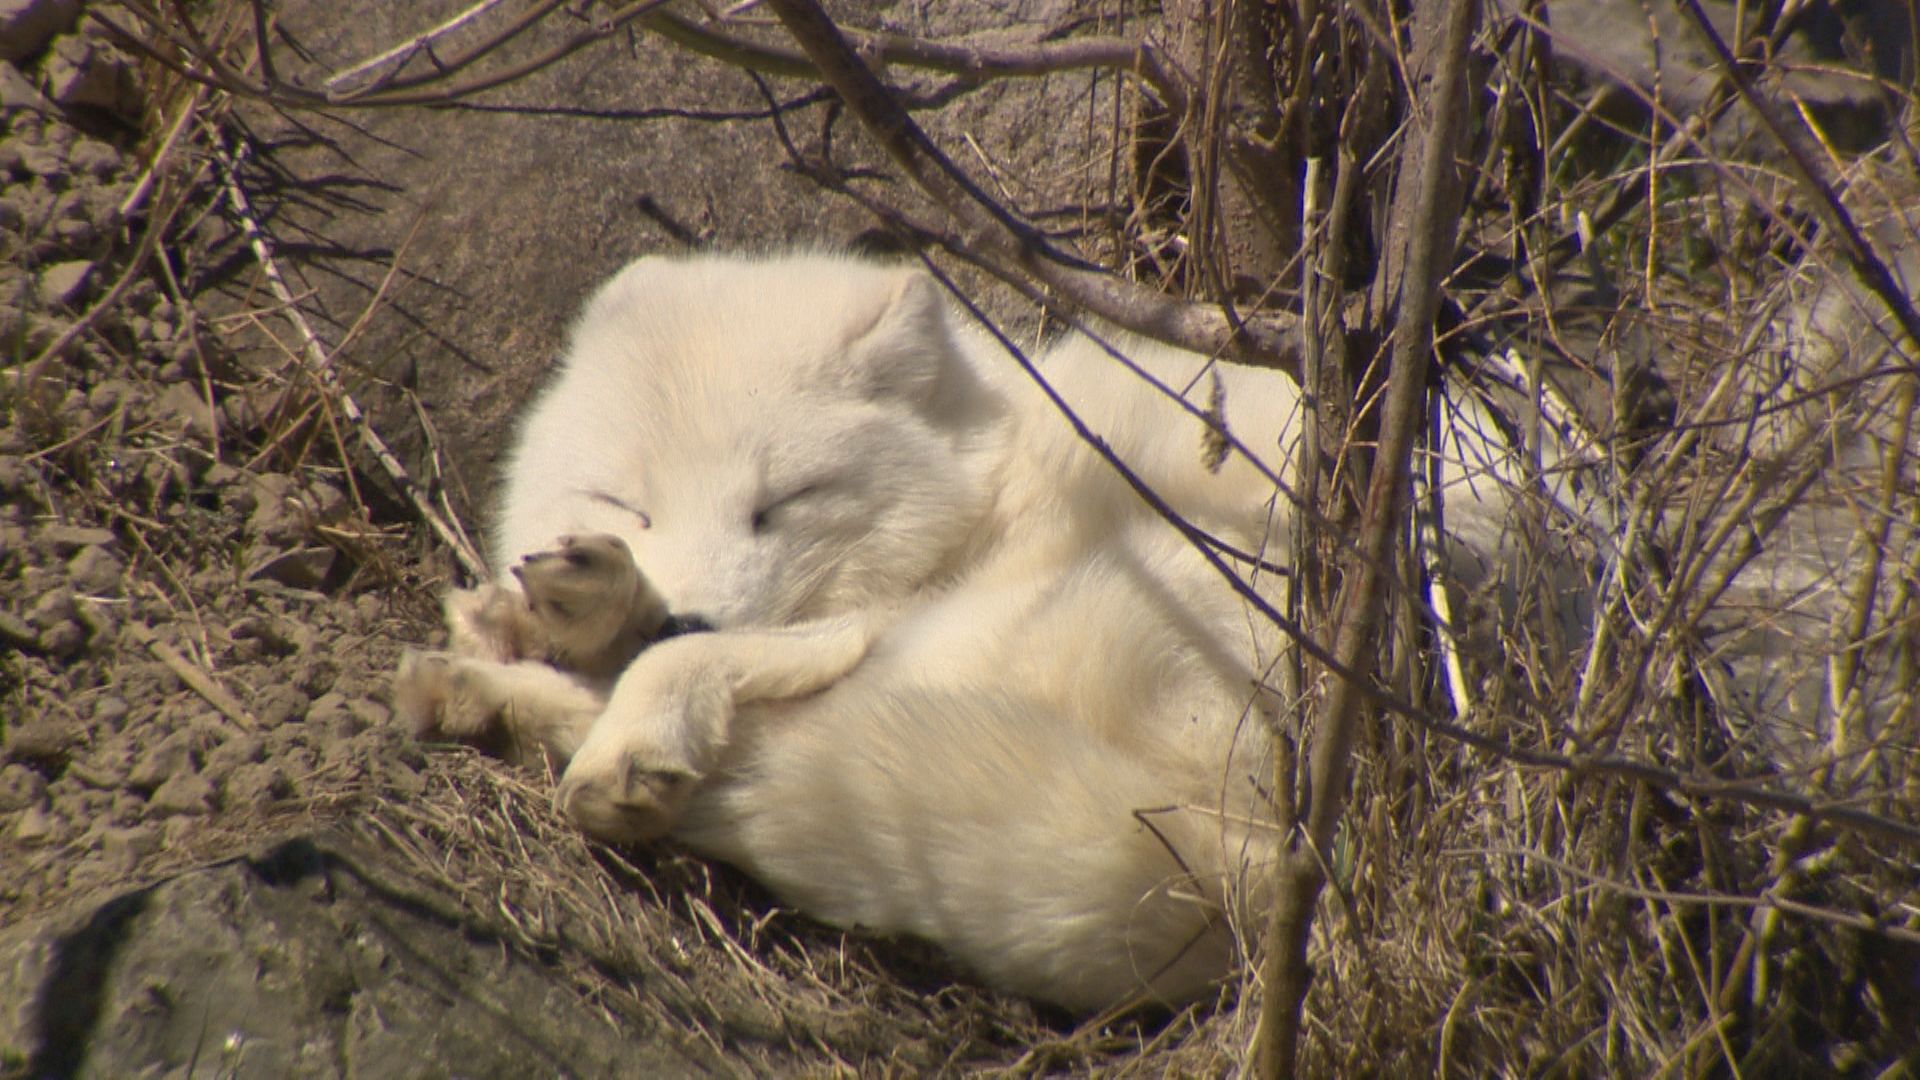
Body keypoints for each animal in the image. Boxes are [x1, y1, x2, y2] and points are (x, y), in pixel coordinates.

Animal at [393, 249, 1543, 1006]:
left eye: (782, 503)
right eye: (629, 503)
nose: (679, 601)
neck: (985, 477)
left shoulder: (880, 617)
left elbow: (703, 659)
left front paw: (621, 675)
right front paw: (564, 609)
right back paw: (484, 678)